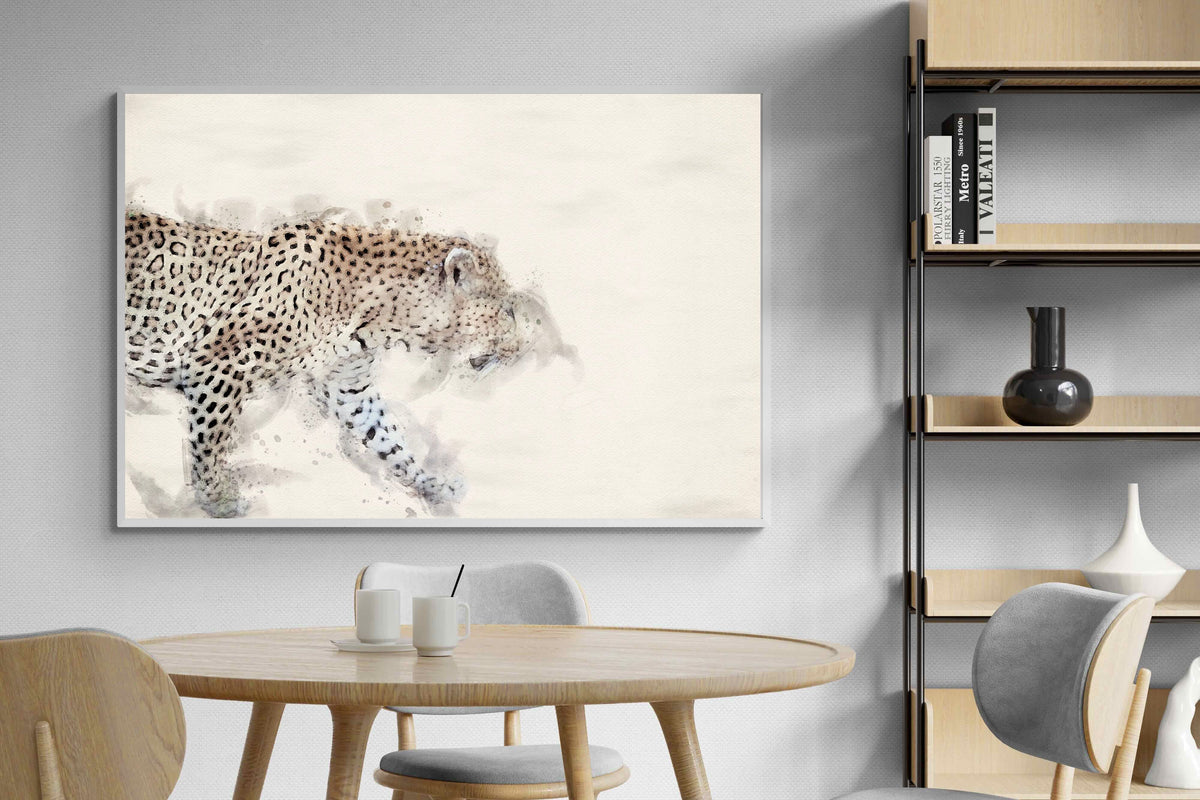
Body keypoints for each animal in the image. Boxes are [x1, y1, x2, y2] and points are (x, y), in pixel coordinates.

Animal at [124, 209, 547, 518]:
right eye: (507, 311)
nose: (523, 348)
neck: (380, 314)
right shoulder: (218, 361)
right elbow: (209, 439)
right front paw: (218, 501)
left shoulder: (348, 385)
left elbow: (390, 438)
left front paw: (433, 485)